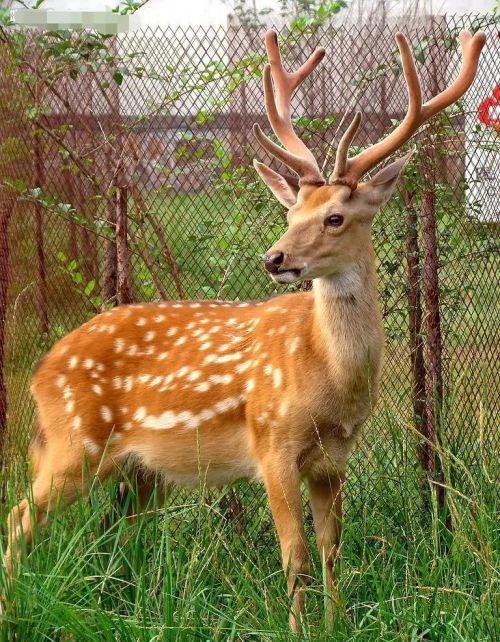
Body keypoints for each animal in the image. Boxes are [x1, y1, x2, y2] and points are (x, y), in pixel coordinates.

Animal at [3, 27, 484, 628]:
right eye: (290, 213)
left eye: (334, 217)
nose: (274, 258)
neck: (328, 377)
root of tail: (41, 370)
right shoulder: (271, 441)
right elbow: (295, 555)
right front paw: (298, 629)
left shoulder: (334, 459)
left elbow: (331, 549)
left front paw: (335, 624)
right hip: (73, 442)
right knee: (20, 519)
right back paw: (17, 606)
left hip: (141, 472)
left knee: (108, 533)